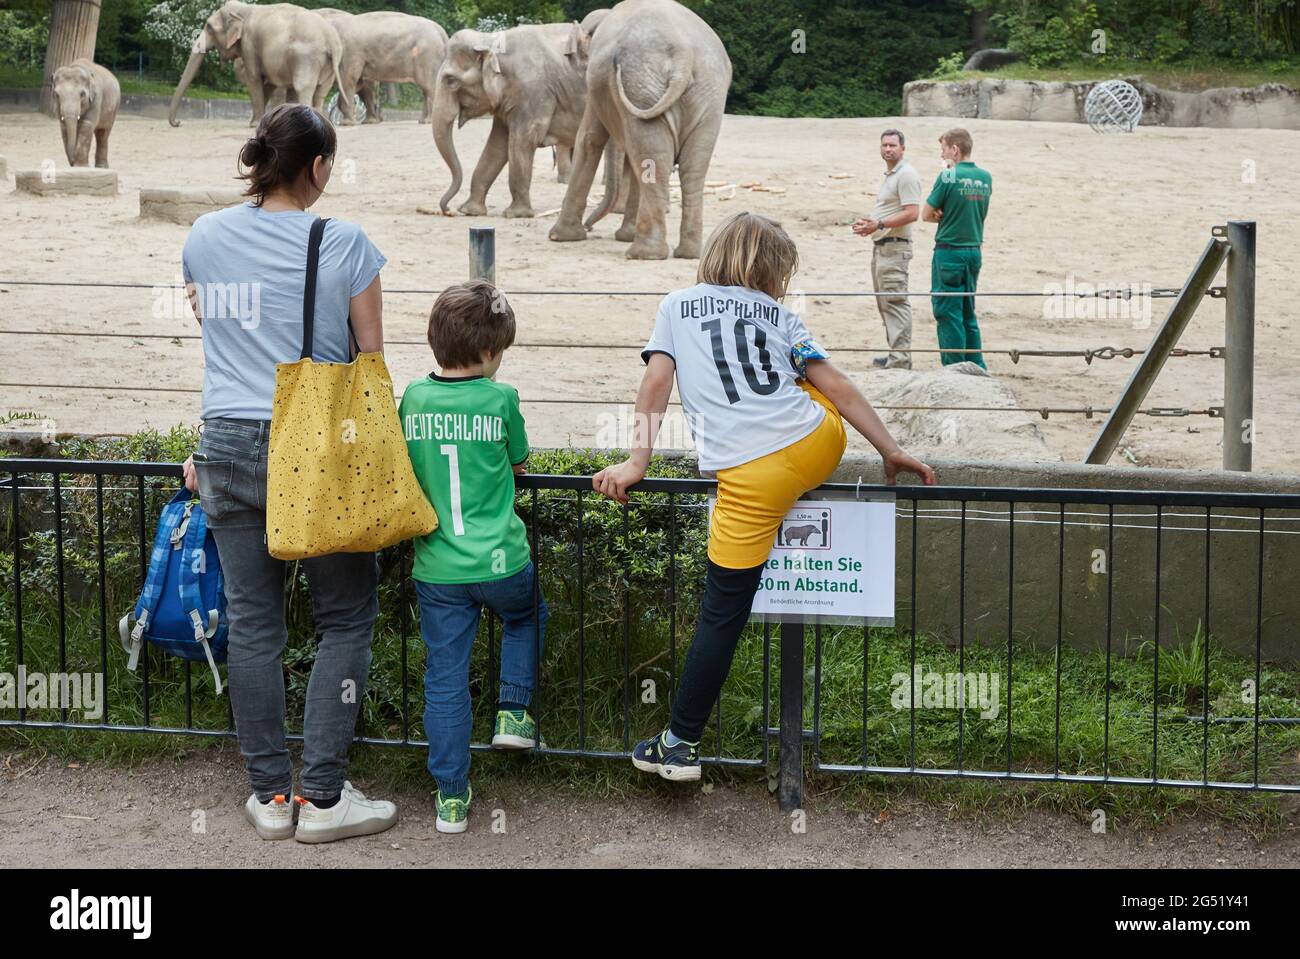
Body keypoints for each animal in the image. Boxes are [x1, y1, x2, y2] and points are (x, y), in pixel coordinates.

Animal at [166, 1, 340, 127]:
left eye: (209, 27)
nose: (178, 122)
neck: (243, 9)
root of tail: (331, 39)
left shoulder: (249, 44)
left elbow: (254, 79)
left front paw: (253, 124)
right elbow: (268, 85)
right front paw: (258, 121)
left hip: (306, 57)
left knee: (303, 88)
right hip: (326, 65)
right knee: (319, 92)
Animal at [313, 8, 447, 124]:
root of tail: (440, 30)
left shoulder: (350, 52)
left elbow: (348, 79)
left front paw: (346, 123)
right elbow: (358, 84)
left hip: (427, 55)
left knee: (429, 86)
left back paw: (428, 121)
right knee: (426, 89)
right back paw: (421, 121)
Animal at [434, 21, 592, 217]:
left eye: (451, 81)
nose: (447, 209)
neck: (490, 39)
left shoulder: (533, 94)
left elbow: (522, 141)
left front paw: (515, 214)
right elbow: (497, 145)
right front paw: (470, 211)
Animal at [548, 0, 733, 257]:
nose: (589, 226)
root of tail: (684, 54)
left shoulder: (596, 85)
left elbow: (589, 139)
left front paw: (559, 237)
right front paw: (623, 236)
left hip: (641, 84)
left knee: (651, 155)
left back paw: (643, 253)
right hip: (706, 93)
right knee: (689, 165)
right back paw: (687, 252)